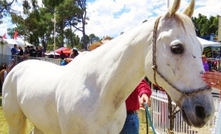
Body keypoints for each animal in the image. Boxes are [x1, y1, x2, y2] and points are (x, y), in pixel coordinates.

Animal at [2, 0, 214, 133]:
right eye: (176, 48)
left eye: (201, 47)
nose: (205, 111)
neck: (100, 92)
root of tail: (17, 68)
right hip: (15, 122)